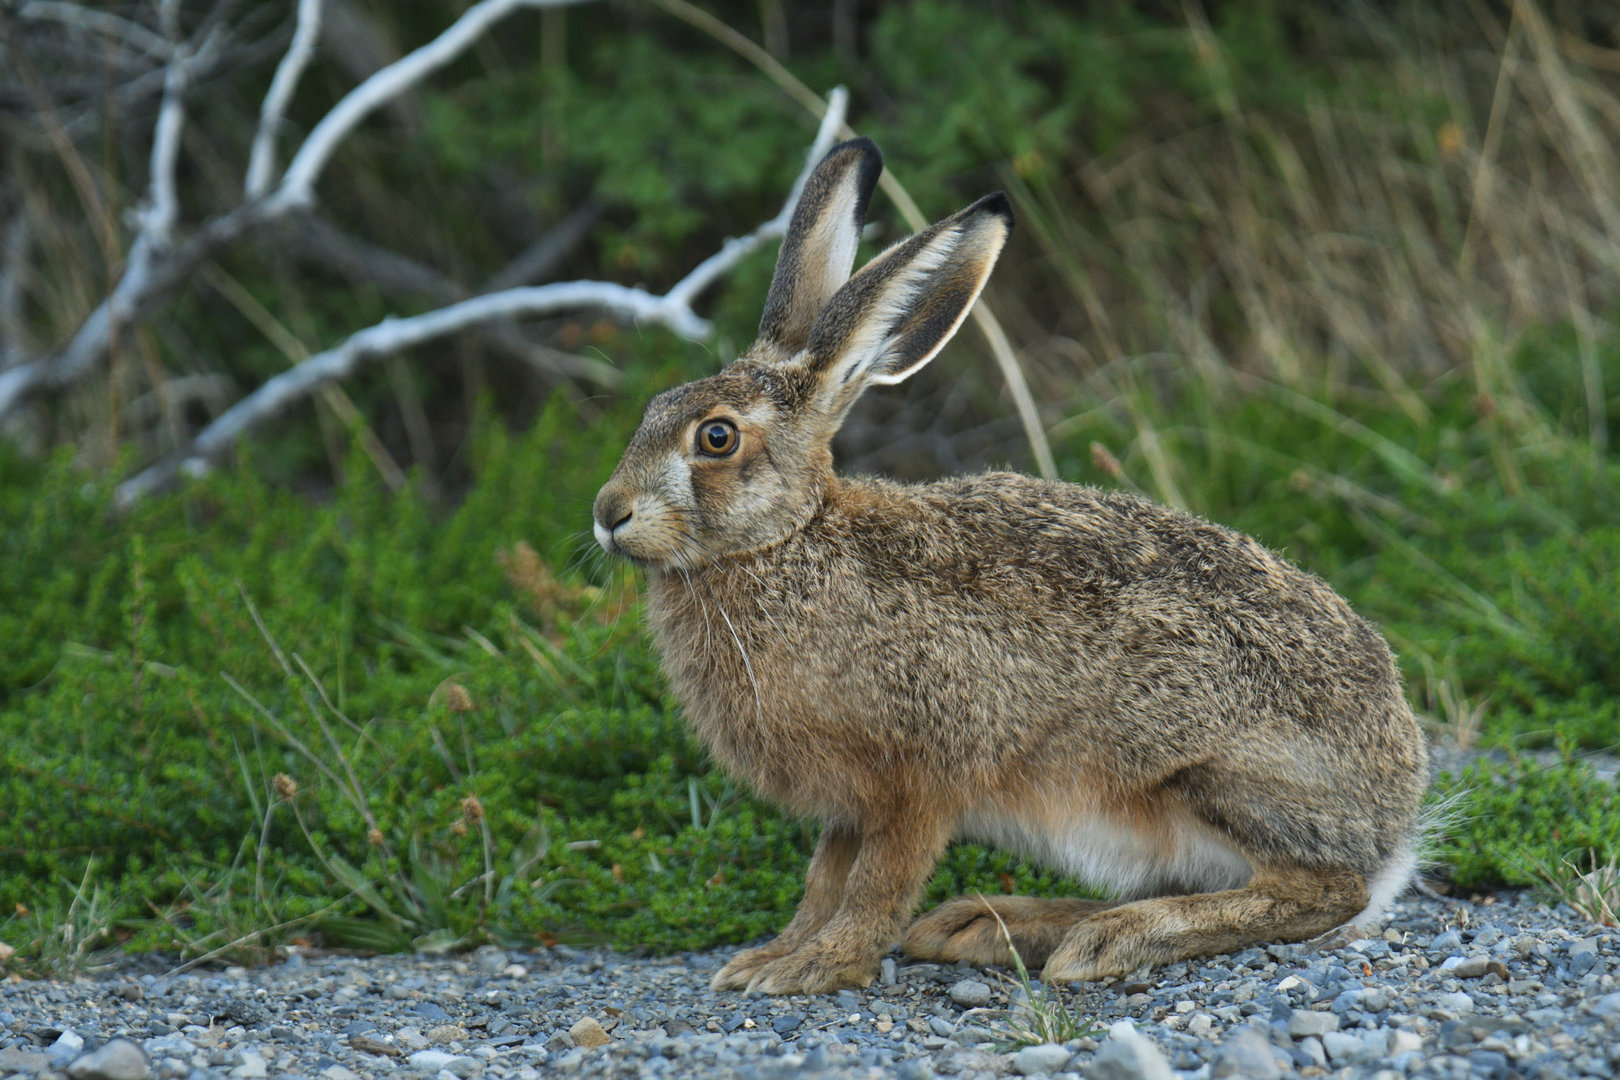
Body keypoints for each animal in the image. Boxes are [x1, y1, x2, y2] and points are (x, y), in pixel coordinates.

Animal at [591, 136, 1430, 996]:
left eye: (716, 438)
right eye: (654, 409)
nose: (607, 513)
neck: (786, 542)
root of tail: (1393, 826)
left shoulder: (917, 778)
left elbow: (873, 885)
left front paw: (817, 966)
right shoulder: (850, 804)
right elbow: (823, 879)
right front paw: (770, 957)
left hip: (1208, 777)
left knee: (1320, 891)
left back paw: (1108, 939)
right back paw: (988, 925)